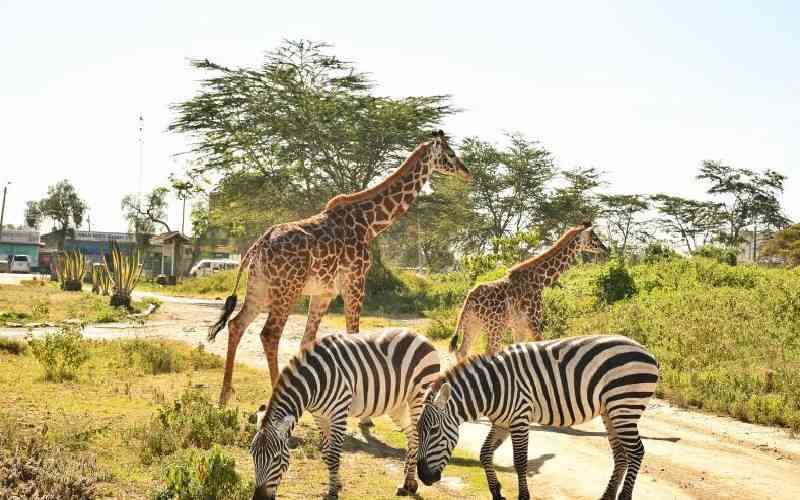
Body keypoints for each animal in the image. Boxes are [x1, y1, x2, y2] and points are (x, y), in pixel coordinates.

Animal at [209, 132, 472, 406]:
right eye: (451, 154)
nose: (467, 173)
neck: (370, 223)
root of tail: (258, 246)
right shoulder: (355, 282)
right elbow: (353, 334)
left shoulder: (324, 292)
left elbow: (307, 341)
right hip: (287, 290)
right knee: (269, 334)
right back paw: (272, 393)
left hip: (259, 287)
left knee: (237, 325)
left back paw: (223, 397)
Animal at [250, 328, 440, 500]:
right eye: (252, 455)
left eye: (276, 459)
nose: (259, 499)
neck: (315, 382)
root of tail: (420, 335)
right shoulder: (320, 416)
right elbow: (326, 453)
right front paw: (337, 484)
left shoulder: (339, 413)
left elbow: (334, 456)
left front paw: (333, 492)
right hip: (398, 405)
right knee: (411, 437)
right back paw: (407, 483)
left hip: (418, 397)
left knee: (417, 436)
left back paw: (410, 483)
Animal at [416, 334, 660, 500]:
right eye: (419, 431)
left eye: (434, 431)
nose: (424, 477)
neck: (492, 389)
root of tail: (648, 353)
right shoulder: (502, 422)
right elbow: (485, 453)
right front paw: (497, 492)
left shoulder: (519, 418)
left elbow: (520, 461)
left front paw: (523, 496)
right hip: (611, 411)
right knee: (621, 454)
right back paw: (607, 496)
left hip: (624, 406)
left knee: (637, 451)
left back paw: (624, 496)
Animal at [450, 222, 608, 360]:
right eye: (594, 237)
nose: (606, 248)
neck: (540, 280)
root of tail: (470, 298)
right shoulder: (534, 321)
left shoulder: (518, 326)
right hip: (495, 326)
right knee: (488, 351)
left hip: (473, 324)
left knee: (462, 351)